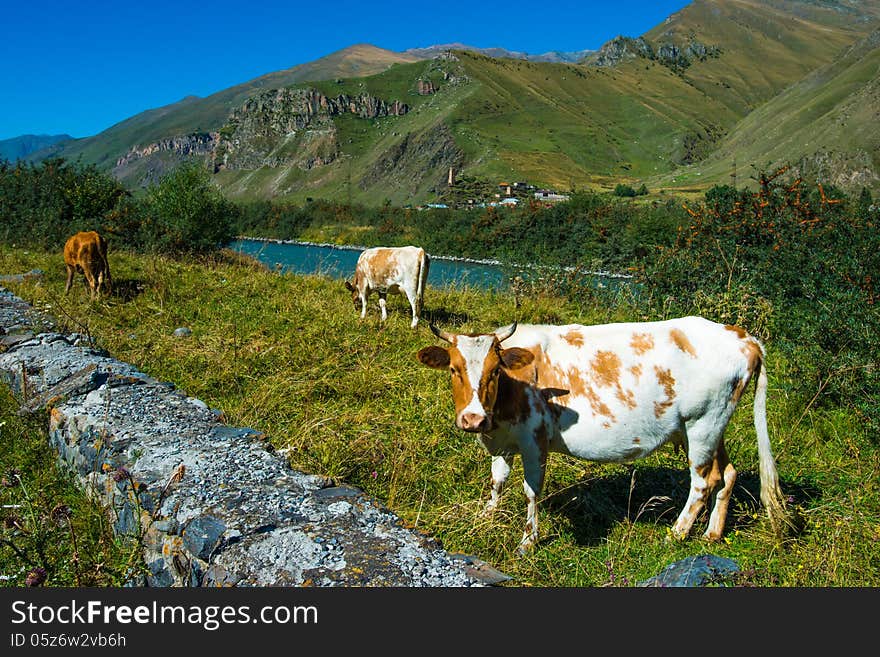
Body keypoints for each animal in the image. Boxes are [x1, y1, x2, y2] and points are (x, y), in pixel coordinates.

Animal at [420, 316, 792, 552]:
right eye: (453, 369)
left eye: (495, 370)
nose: (472, 419)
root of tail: (742, 336)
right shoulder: (504, 440)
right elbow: (497, 481)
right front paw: (485, 516)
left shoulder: (534, 439)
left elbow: (531, 491)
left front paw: (528, 541)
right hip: (709, 427)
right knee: (727, 474)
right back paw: (712, 534)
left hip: (703, 423)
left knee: (703, 482)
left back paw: (676, 534)